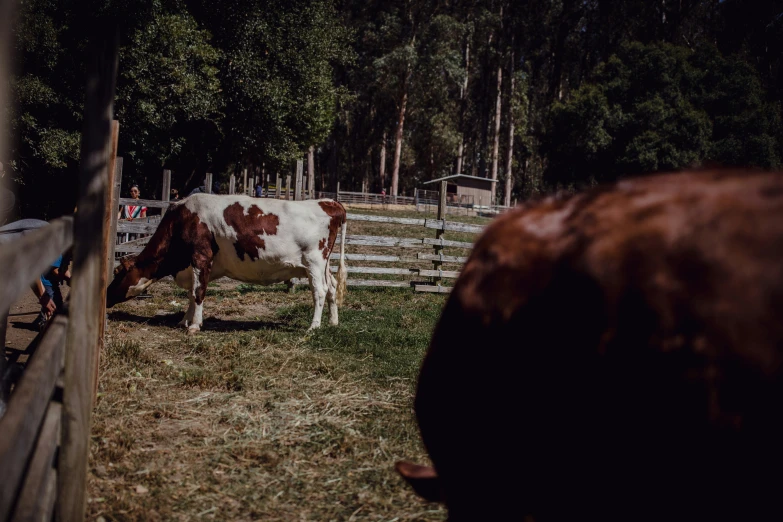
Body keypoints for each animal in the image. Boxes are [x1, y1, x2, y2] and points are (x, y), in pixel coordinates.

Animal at [107, 193, 350, 332]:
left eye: (117, 272)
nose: (106, 296)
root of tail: (329, 202)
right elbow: (192, 293)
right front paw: (184, 320)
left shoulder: (201, 255)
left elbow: (198, 292)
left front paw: (194, 325)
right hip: (322, 264)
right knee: (332, 287)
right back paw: (333, 322)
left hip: (314, 261)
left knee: (320, 291)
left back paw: (313, 327)